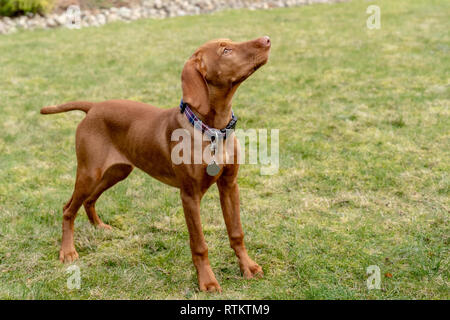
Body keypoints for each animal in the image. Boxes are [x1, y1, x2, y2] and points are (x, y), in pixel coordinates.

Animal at [40, 36, 270, 292]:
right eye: (226, 50)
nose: (266, 39)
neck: (212, 130)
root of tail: (93, 107)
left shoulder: (230, 185)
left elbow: (236, 232)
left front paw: (247, 266)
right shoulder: (189, 195)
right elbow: (199, 244)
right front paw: (207, 281)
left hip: (118, 171)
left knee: (89, 200)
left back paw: (99, 226)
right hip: (90, 172)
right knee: (68, 208)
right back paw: (68, 251)